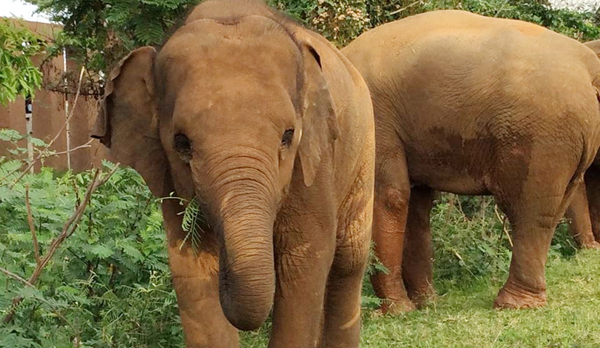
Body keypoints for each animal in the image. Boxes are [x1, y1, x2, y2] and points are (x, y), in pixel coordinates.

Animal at [90, 1, 376, 346]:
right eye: (181, 143)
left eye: (288, 135)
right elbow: (191, 267)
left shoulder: (314, 162)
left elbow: (305, 262)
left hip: (364, 149)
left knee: (349, 261)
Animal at [340, 9, 600, 312]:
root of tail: (587, 68)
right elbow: (416, 204)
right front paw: (426, 304)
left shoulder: (374, 119)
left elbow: (389, 196)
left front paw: (397, 312)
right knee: (551, 208)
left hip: (542, 137)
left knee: (529, 210)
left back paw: (511, 304)